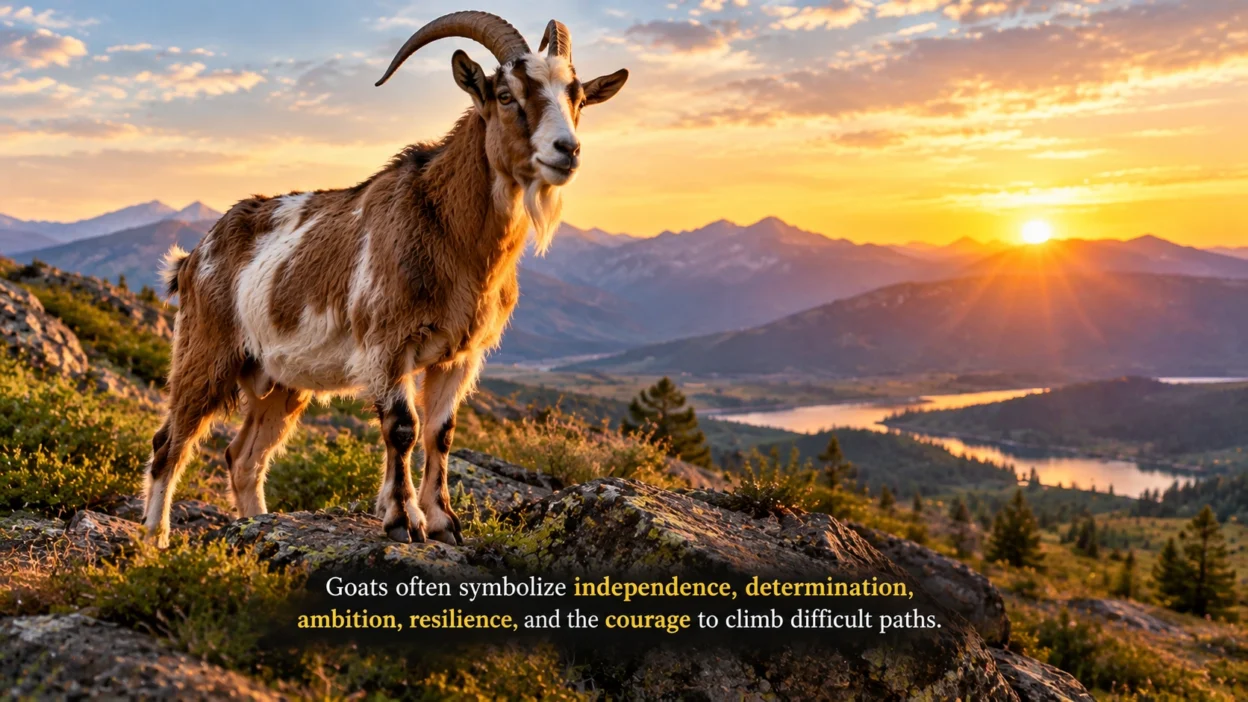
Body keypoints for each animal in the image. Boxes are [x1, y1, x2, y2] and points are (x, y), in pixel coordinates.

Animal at [143, 11, 628, 547]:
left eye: (577, 98)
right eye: (506, 95)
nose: (567, 150)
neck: (452, 237)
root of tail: (192, 258)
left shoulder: (460, 355)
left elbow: (441, 431)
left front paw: (443, 521)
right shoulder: (386, 345)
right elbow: (402, 428)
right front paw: (403, 520)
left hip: (280, 381)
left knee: (243, 458)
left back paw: (256, 527)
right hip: (206, 353)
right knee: (170, 442)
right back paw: (155, 538)